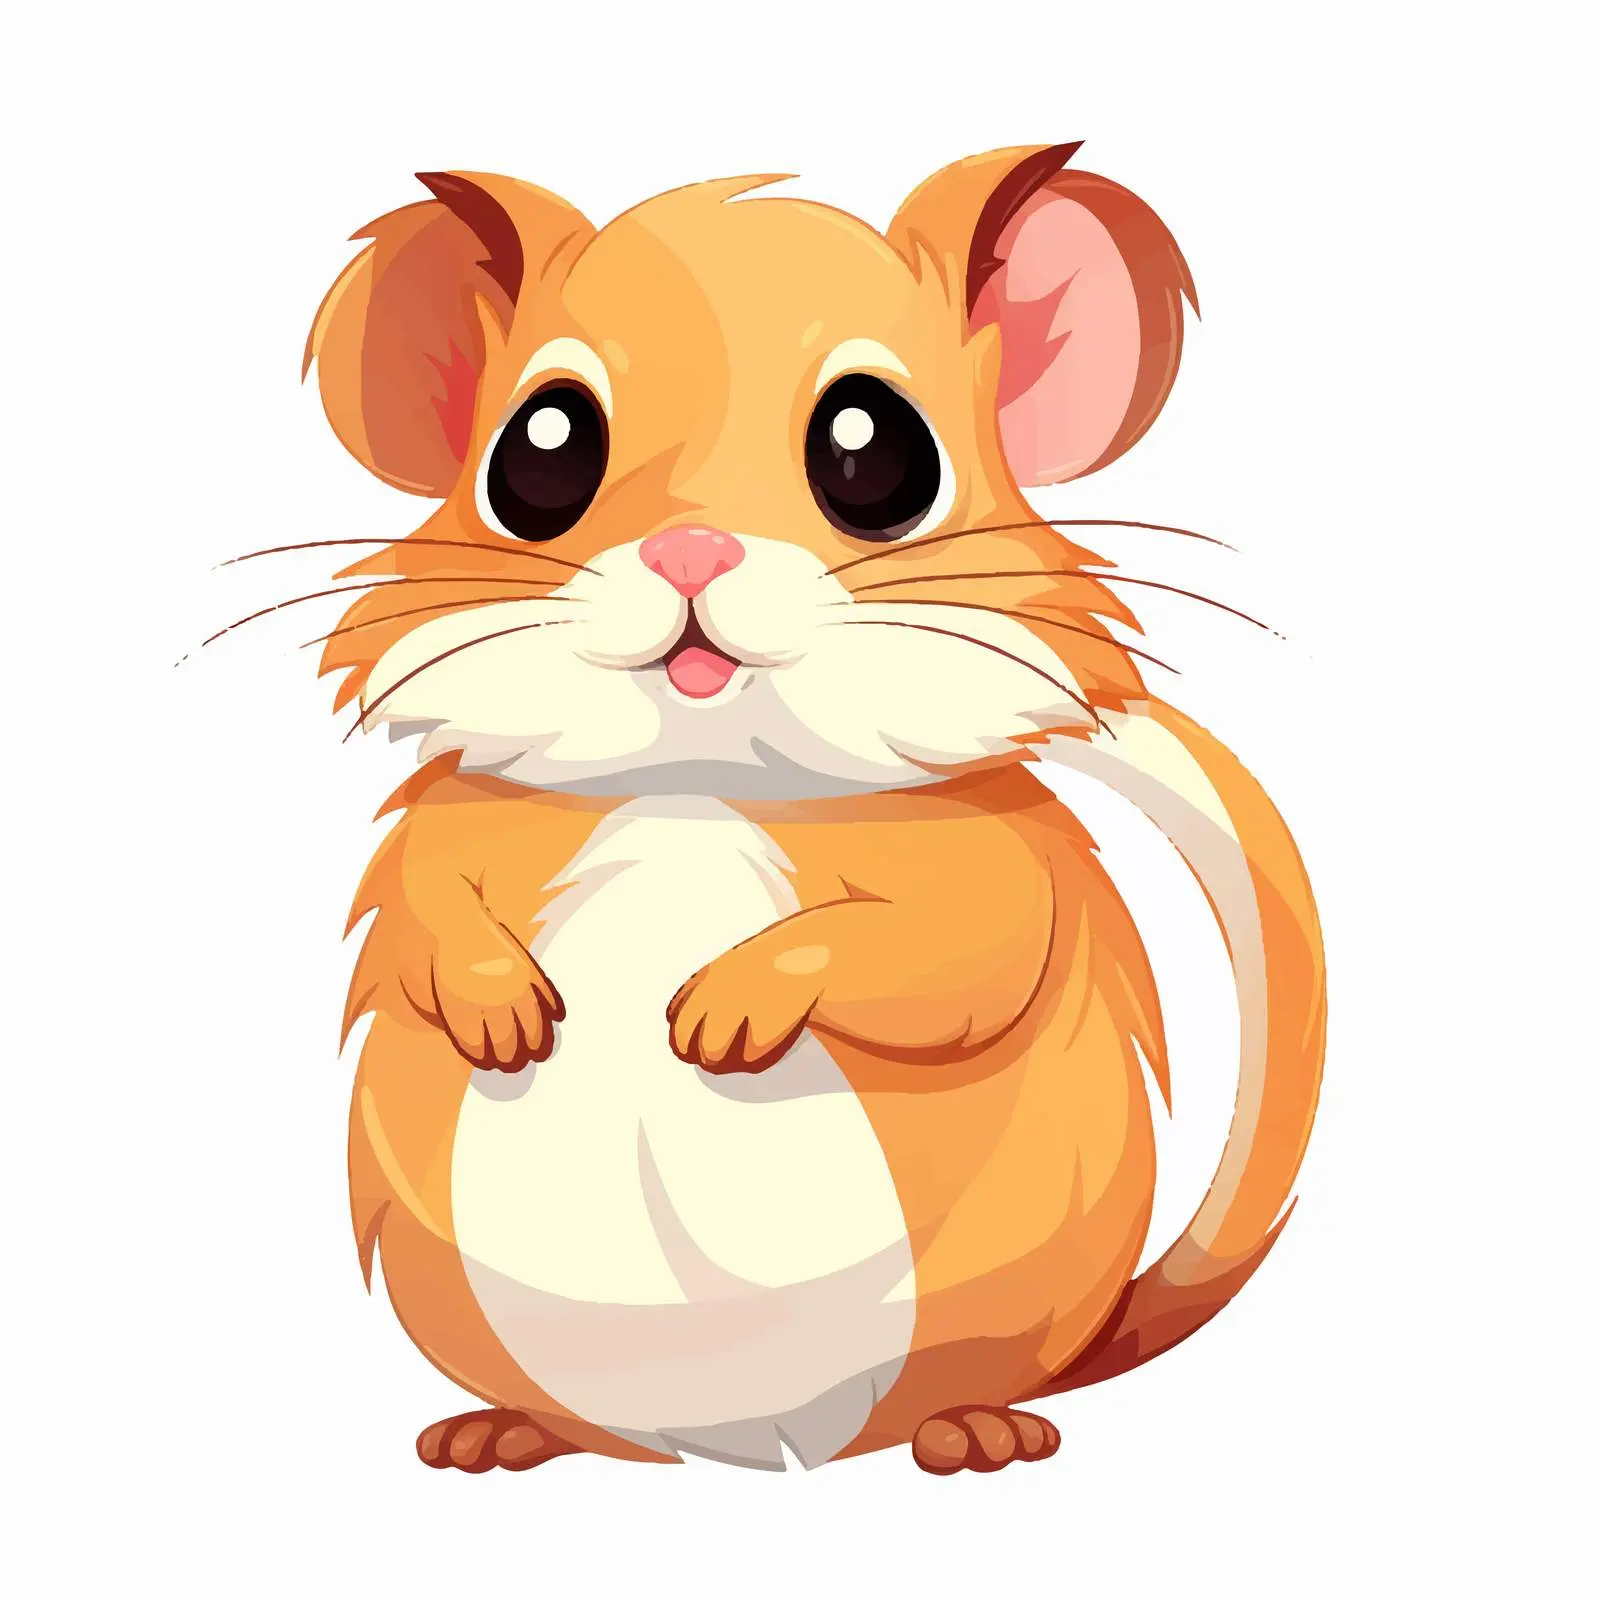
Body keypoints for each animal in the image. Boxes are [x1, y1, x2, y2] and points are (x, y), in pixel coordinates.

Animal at [298, 143, 1325, 1475]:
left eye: (873, 451)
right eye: (540, 453)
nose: (689, 551)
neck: (699, 778)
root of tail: (752, 1444)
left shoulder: (984, 864)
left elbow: (951, 956)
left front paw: (723, 1012)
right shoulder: (458, 820)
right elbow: (429, 906)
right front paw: (500, 1007)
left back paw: (975, 1428)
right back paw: (501, 1431)